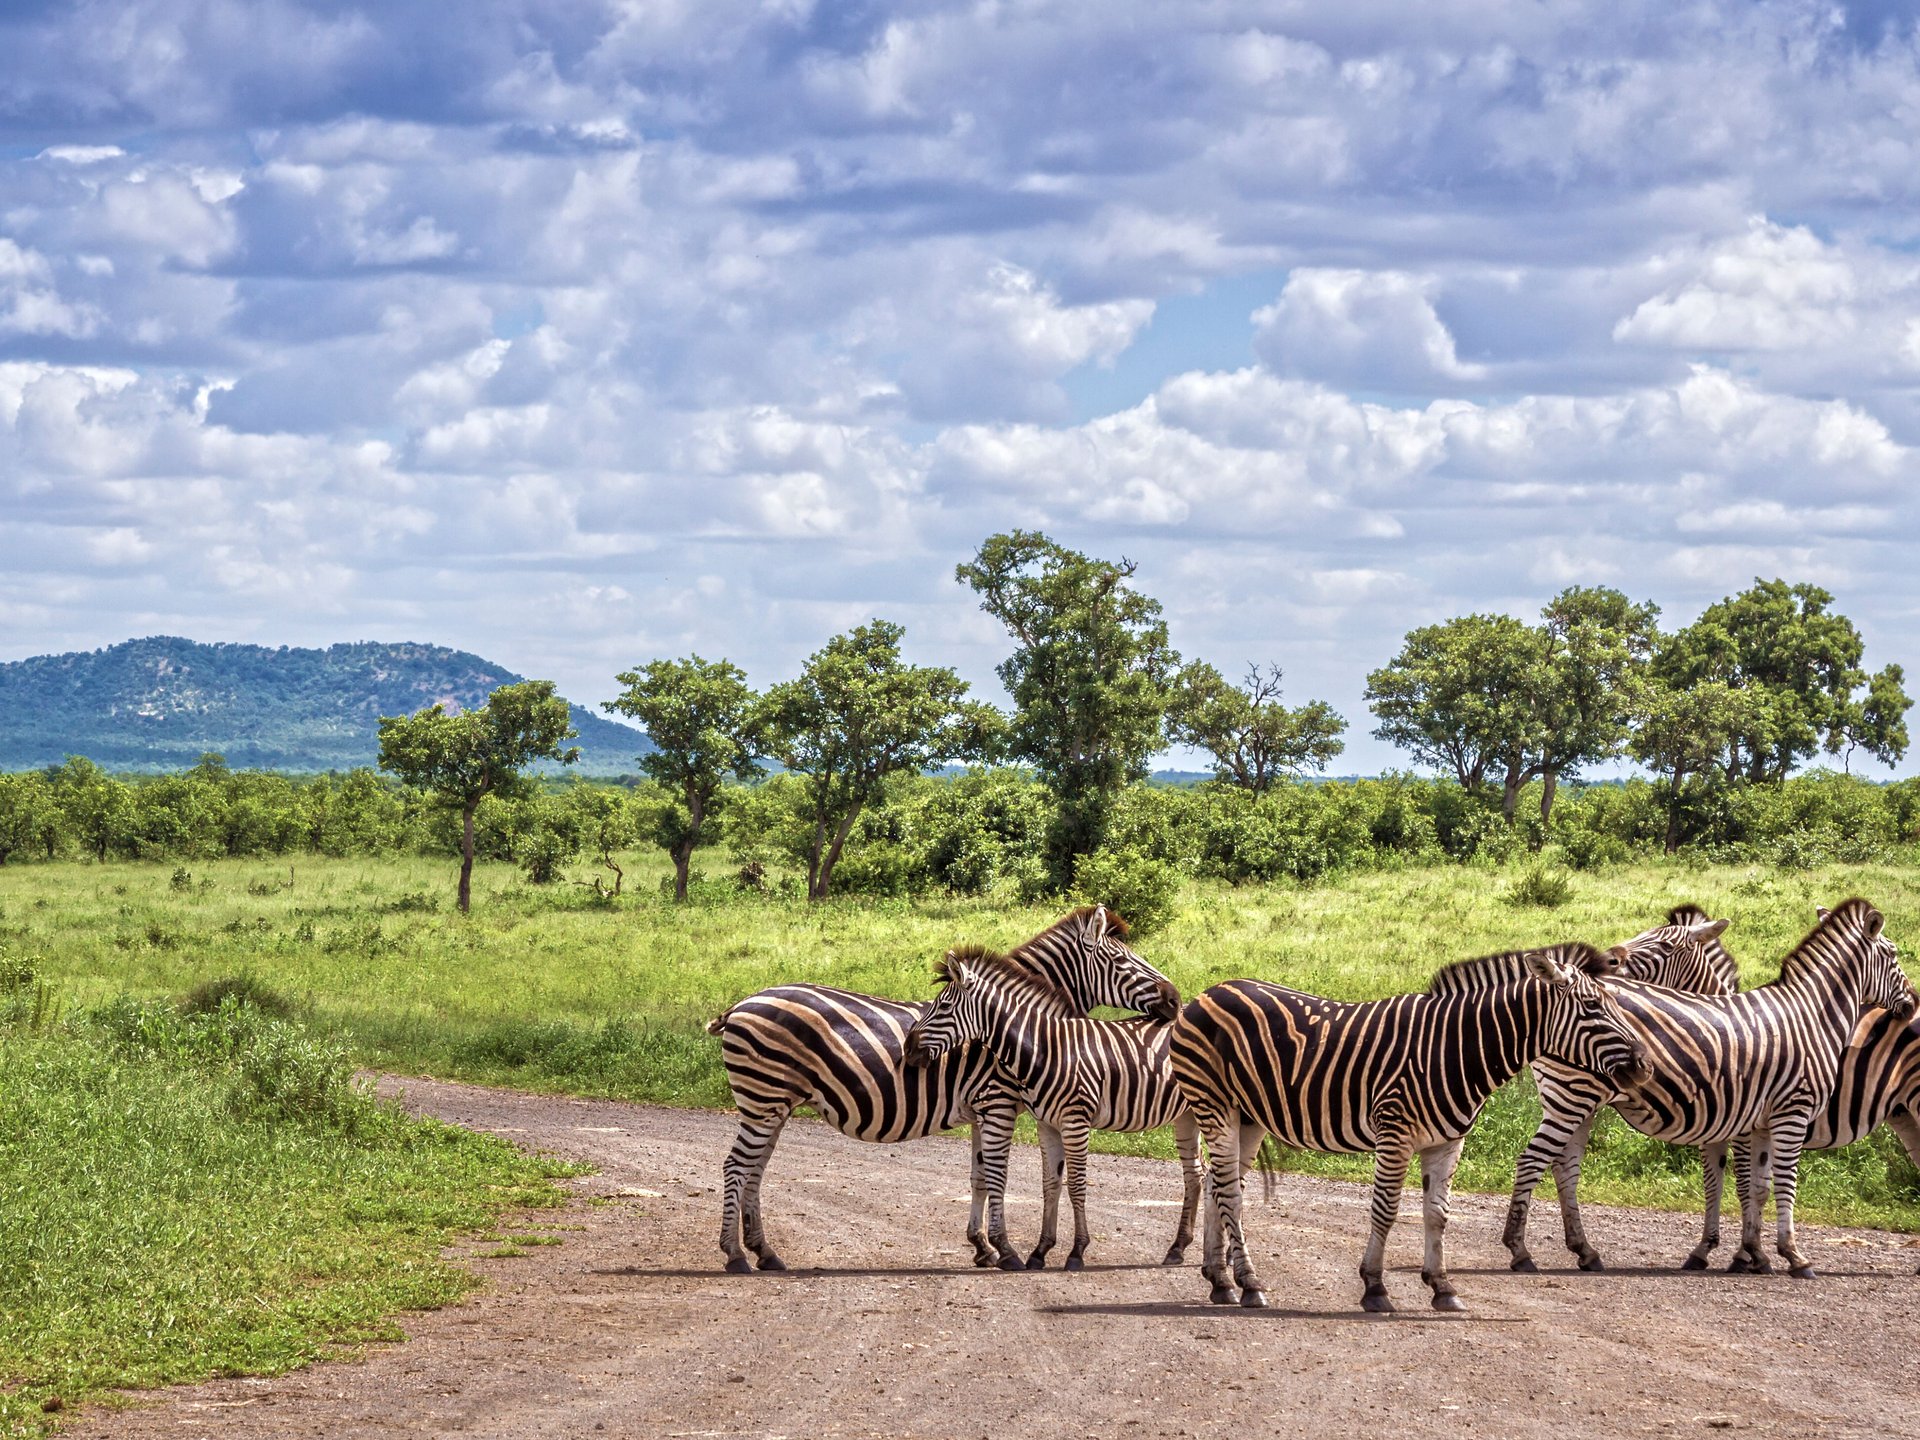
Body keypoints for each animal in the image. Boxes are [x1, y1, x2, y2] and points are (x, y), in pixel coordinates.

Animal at [902, 960, 1198, 1274]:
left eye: (944, 1006)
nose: (908, 1047)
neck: (1046, 1049)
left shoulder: (1075, 1121)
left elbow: (1076, 1185)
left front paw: (1077, 1251)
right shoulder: (1046, 1124)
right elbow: (1050, 1185)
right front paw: (1040, 1251)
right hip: (1187, 1115)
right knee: (1196, 1174)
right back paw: (1178, 1248)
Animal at [1167, 948, 1651, 1320]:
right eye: (1592, 1008)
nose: (1645, 1066)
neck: (1455, 1048)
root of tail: (1209, 991)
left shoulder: (1447, 1142)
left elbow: (1437, 1215)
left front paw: (1442, 1287)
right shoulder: (1395, 1133)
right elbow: (1386, 1210)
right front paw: (1375, 1287)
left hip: (1247, 1116)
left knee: (1219, 1185)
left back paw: (1220, 1280)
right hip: (1215, 1104)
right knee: (1229, 1193)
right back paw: (1249, 1283)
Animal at [1497, 898, 1920, 1282]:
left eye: (1666, 945)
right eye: (1893, 954)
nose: (1911, 1004)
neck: (1813, 1017)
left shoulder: (1745, 1121)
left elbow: (1748, 1186)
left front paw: (1746, 1254)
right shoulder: (1784, 1113)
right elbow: (1765, 1184)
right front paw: (1779, 1256)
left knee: (1563, 1166)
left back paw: (1584, 1251)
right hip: (1574, 1095)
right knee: (1536, 1161)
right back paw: (1522, 1252)